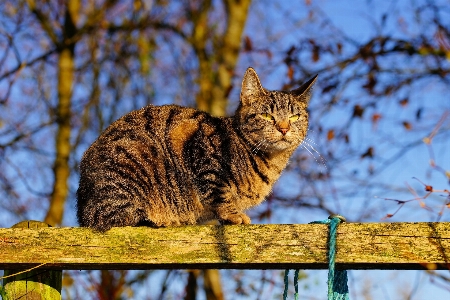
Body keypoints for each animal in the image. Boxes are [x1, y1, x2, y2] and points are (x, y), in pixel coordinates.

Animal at [76, 67, 316, 232]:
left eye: (294, 117)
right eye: (267, 115)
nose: (284, 128)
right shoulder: (201, 148)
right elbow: (218, 192)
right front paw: (232, 214)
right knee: (114, 218)